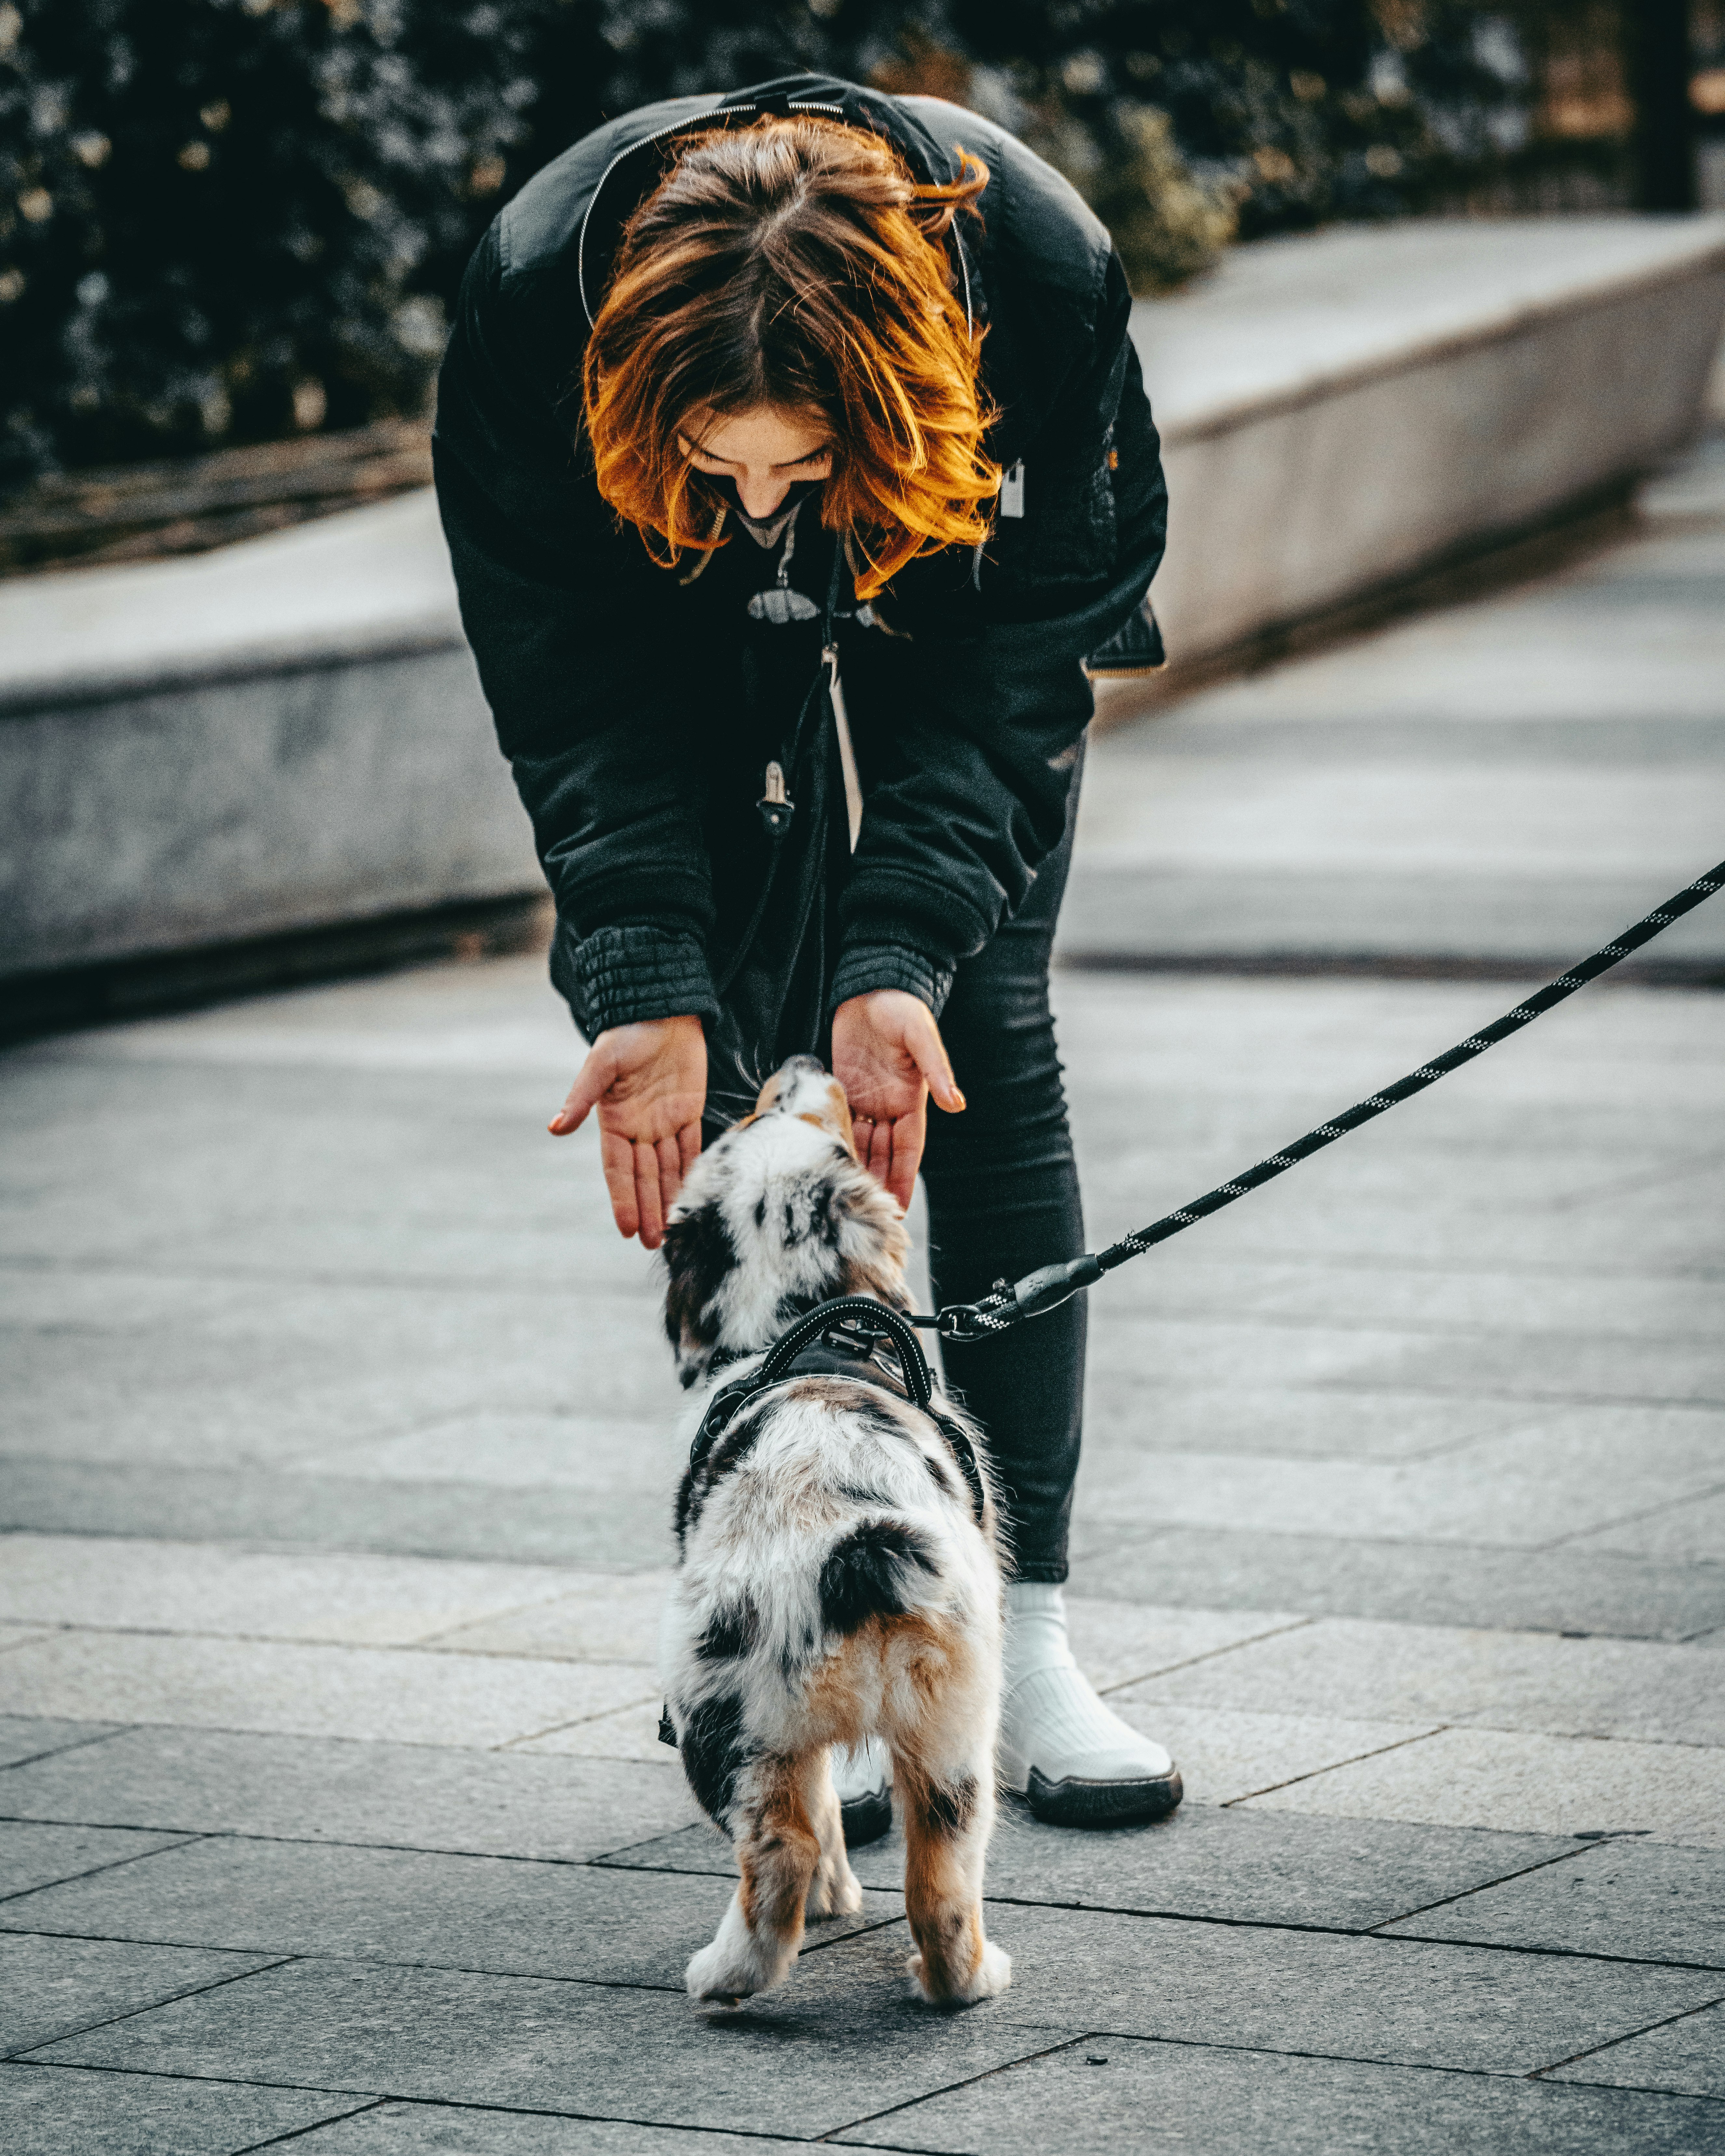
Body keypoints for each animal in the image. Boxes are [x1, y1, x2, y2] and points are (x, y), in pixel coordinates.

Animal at [655, 1052, 1009, 2009]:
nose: (807, 1060)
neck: (797, 1331)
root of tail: (855, 1546)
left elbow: (821, 1814)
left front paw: (835, 1899)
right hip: (953, 1729)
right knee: (937, 1878)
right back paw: (965, 1981)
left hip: (728, 1719)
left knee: (783, 1847)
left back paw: (728, 1974)